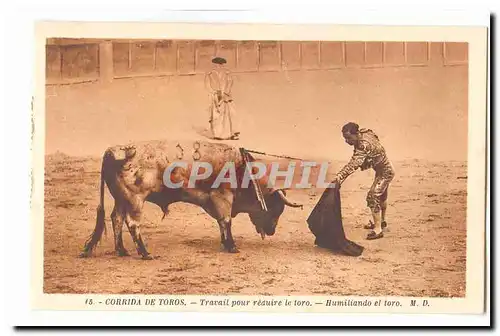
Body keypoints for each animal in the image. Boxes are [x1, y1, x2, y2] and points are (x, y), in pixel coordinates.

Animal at [80, 139, 302, 260]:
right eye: (275, 207)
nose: (272, 231)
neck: (243, 170)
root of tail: (114, 151)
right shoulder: (223, 197)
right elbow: (226, 221)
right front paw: (232, 246)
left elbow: (222, 223)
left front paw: (225, 243)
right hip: (135, 199)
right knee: (132, 224)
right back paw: (145, 253)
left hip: (122, 199)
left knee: (116, 219)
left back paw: (122, 250)